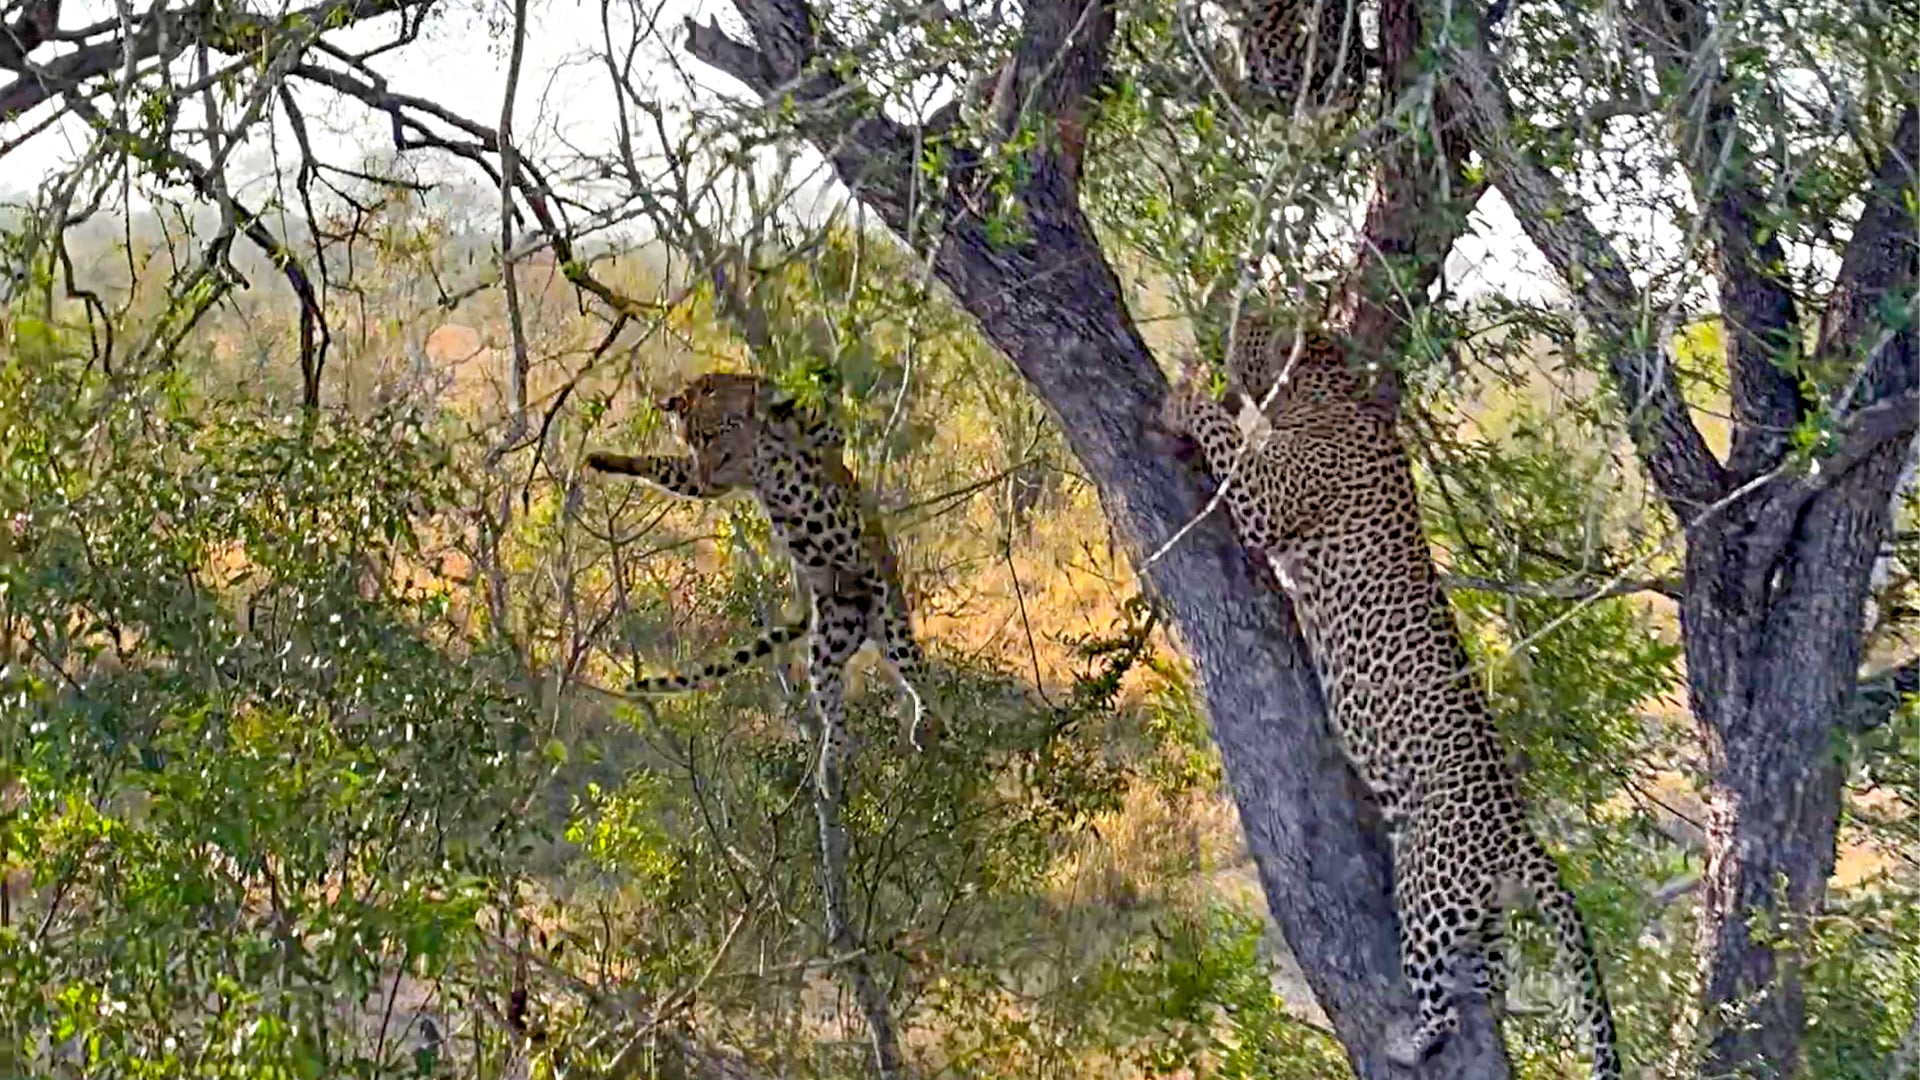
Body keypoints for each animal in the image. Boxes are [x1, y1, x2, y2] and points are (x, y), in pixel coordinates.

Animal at [586, 372, 932, 759]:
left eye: (707, 435)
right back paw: (833, 759)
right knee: (834, 707)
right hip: (829, 643)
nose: (706, 465)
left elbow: (818, 425)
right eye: (689, 441)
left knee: (918, 670)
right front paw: (606, 459)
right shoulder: (705, 480)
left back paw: (930, 722)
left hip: (888, 615)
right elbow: (664, 466)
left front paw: (781, 407)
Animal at [1159, 319, 1621, 1078]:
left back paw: (1411, 1040)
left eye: (1251, 326)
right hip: (1482, 915)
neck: (1328, 389)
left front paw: (1186, 396)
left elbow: (1229, 441)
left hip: (1426, 885)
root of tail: (1518, 832)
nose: (1221, 323)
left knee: (1439, 995)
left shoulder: (1265, 496)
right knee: (1489, 981)